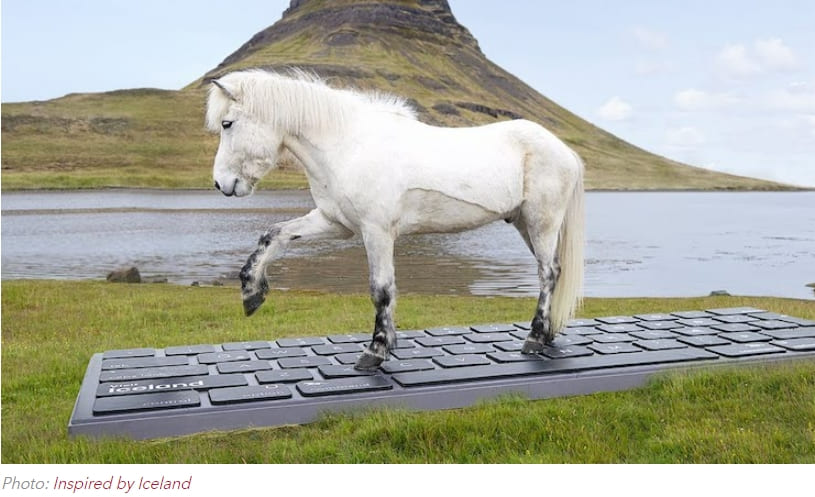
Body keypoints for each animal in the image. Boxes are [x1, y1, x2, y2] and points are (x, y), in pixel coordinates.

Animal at [206, 69, 585, 371]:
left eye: (227, 123)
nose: (221, 184)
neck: (348, 146)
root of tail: (565, 150)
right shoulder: (335, 223)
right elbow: (273, 235)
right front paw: (251, 293)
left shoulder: (376, 232)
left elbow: (381, 289)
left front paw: (376, 350)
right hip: (524, 224)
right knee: (552, 270)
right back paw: (547, 334)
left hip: (542, 223)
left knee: (548, 273)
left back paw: (534, 337)